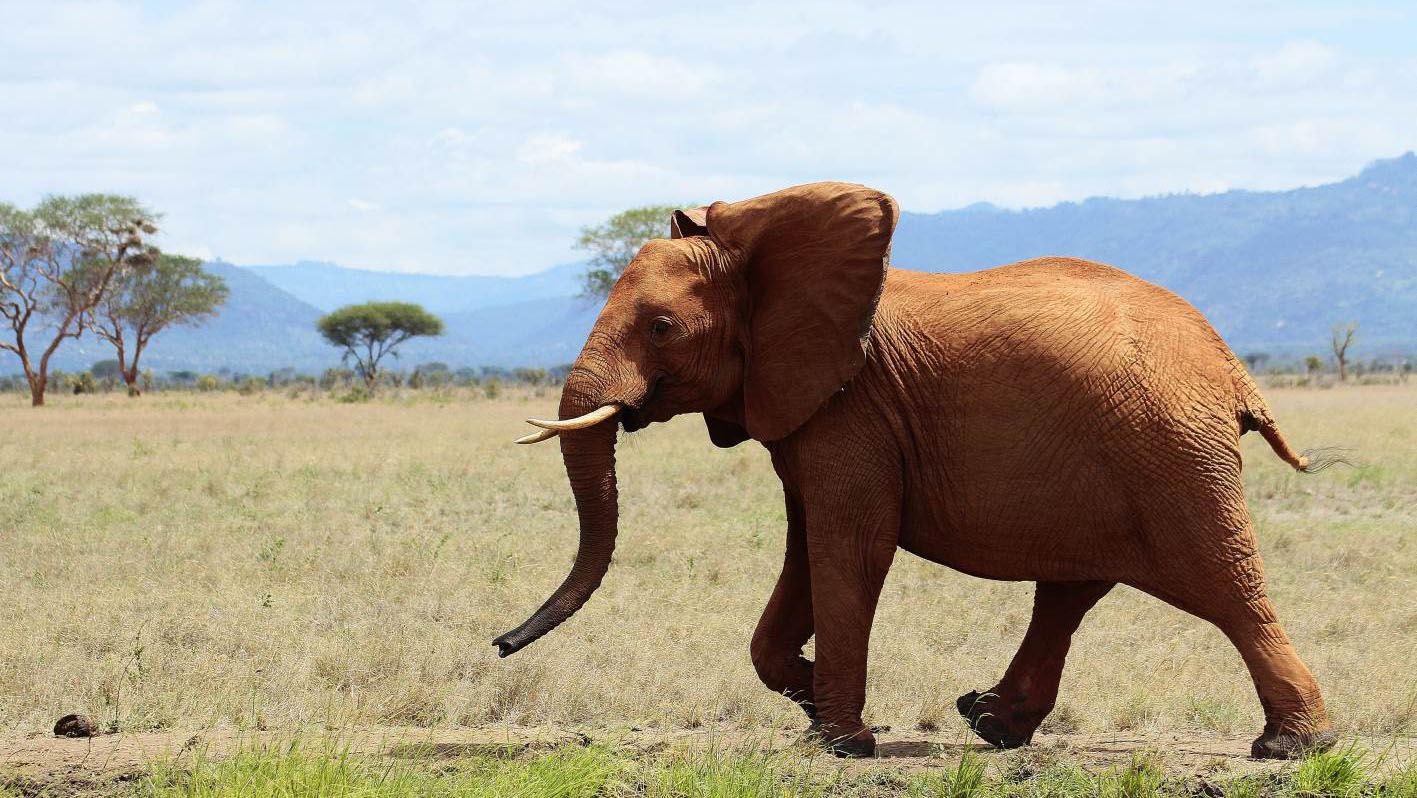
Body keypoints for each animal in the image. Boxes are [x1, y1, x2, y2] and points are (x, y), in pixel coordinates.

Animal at [493, 181, 1331, 759]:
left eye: (661, 328)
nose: (499, 644)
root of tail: (1229, 367)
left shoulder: (850, 410)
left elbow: (849, 546)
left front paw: (839, 741)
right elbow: (806, 548)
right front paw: (813, 701)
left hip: (1170, 453)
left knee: (1222, 585)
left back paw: (1291, 748)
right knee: (1071, 590)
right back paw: (990, 724)